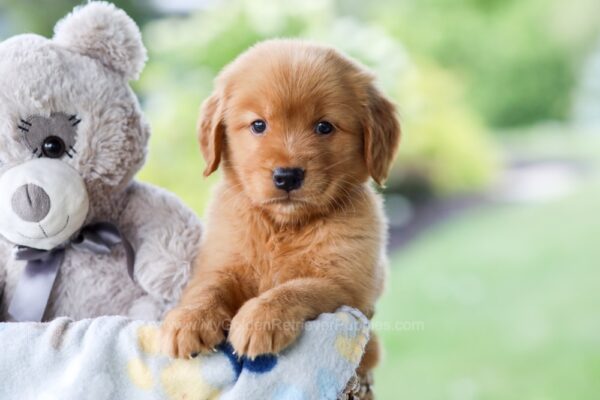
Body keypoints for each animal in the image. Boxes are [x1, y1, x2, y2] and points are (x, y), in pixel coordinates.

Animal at [162, 39, 400, 378]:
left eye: (324, 127)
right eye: (258, 125)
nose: (287, 176)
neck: (283, 226)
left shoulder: (347, 284)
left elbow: (298, 287)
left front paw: (259, 318)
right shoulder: (220, 261)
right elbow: (207, 287)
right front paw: (188, 319)